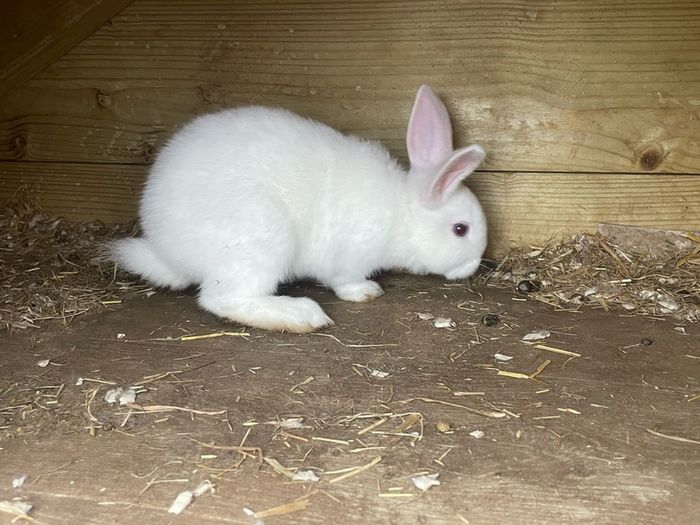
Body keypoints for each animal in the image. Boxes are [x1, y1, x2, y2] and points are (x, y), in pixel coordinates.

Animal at [109, 85, 487, 333]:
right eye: (460, 229)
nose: (472, 267)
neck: (402, 214)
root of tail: (166, 251)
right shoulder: (349, 257)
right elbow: (345, 282)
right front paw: (366, 292)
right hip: (261, 234)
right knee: (223, 298)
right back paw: (302, 316)